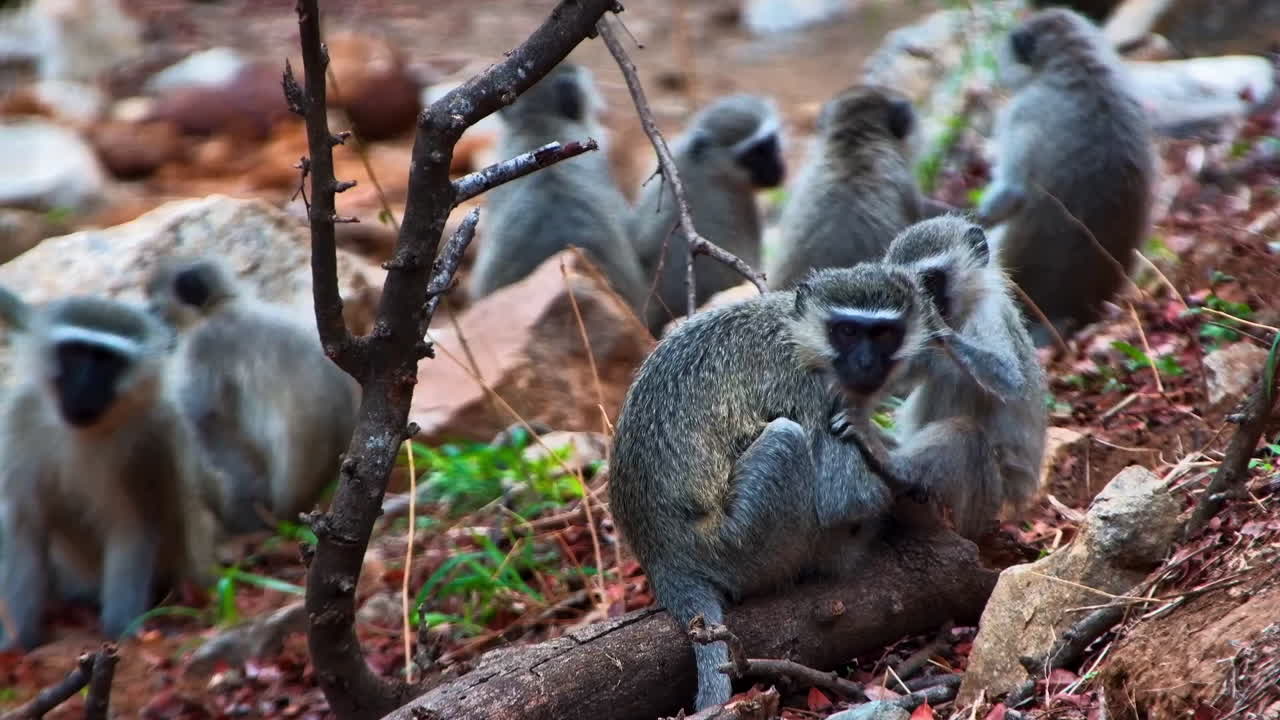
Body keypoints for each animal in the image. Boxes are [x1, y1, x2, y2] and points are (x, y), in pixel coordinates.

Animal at [0, 290, 215, 650]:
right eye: (74, 353)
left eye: (106, 361)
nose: (82, 389)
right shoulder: (20, 418)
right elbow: (24, 527)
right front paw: (17, 643)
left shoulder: (150, 439)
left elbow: (134, 527)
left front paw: (121, 632)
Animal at [845, 216, 1049, 538]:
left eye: (929, 281)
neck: (962, 314)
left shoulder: (989, 314)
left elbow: (1010, 380)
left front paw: (933, 321)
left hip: (984, 502)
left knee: (966, 437)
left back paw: (895, 467)